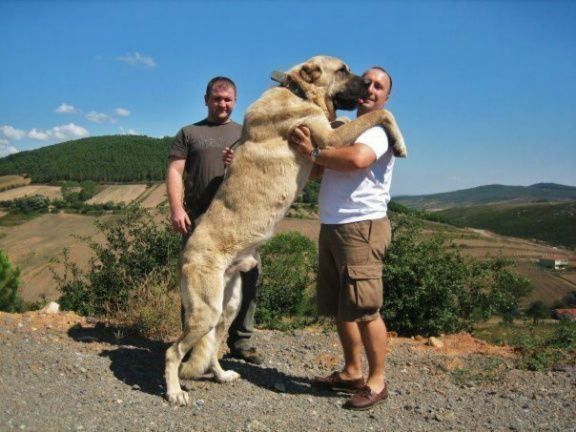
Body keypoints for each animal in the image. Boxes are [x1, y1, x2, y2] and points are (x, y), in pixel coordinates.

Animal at [163, 55, 404, 406]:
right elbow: (381, 114)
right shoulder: (328, 138)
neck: (298, 92)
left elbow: (355, 118)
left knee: (212, 349)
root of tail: (185, 254)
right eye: (343, 70)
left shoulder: (327, 135)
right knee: (173, 351)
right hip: (205, 311)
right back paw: (174, 392)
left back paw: (222, 375)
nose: (370, 86)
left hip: (228, 307)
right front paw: (399, 143)